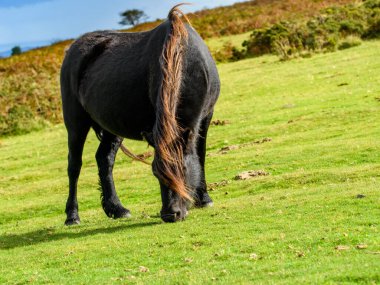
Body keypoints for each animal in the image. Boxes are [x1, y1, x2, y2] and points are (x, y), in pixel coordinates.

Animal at [59, 3, 220, 222]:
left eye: (184, 170)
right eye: (155, 172)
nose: (170, 214)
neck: (184, 58)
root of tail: (73, 48)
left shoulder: (205, 117)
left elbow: (200, 155)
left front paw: (204, 198)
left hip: (111, 127)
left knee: (104, 159)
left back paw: (117, 209)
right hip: (76, 124)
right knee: (74, 165)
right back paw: (72, 216)